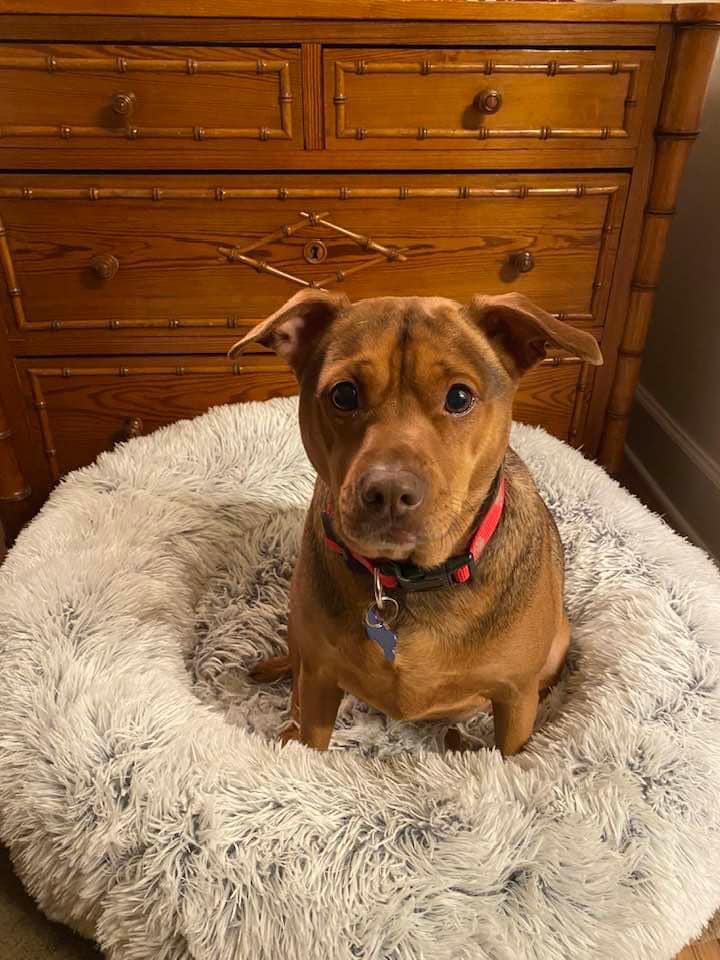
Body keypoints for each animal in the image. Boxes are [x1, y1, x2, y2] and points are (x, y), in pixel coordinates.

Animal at [232, 288, 600, 752]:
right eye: (343, 394)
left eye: (459, 397)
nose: (389, 493)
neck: (405, 580)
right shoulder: (319, 682)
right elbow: (309, 733)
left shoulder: (516, 699)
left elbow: (511, 755)